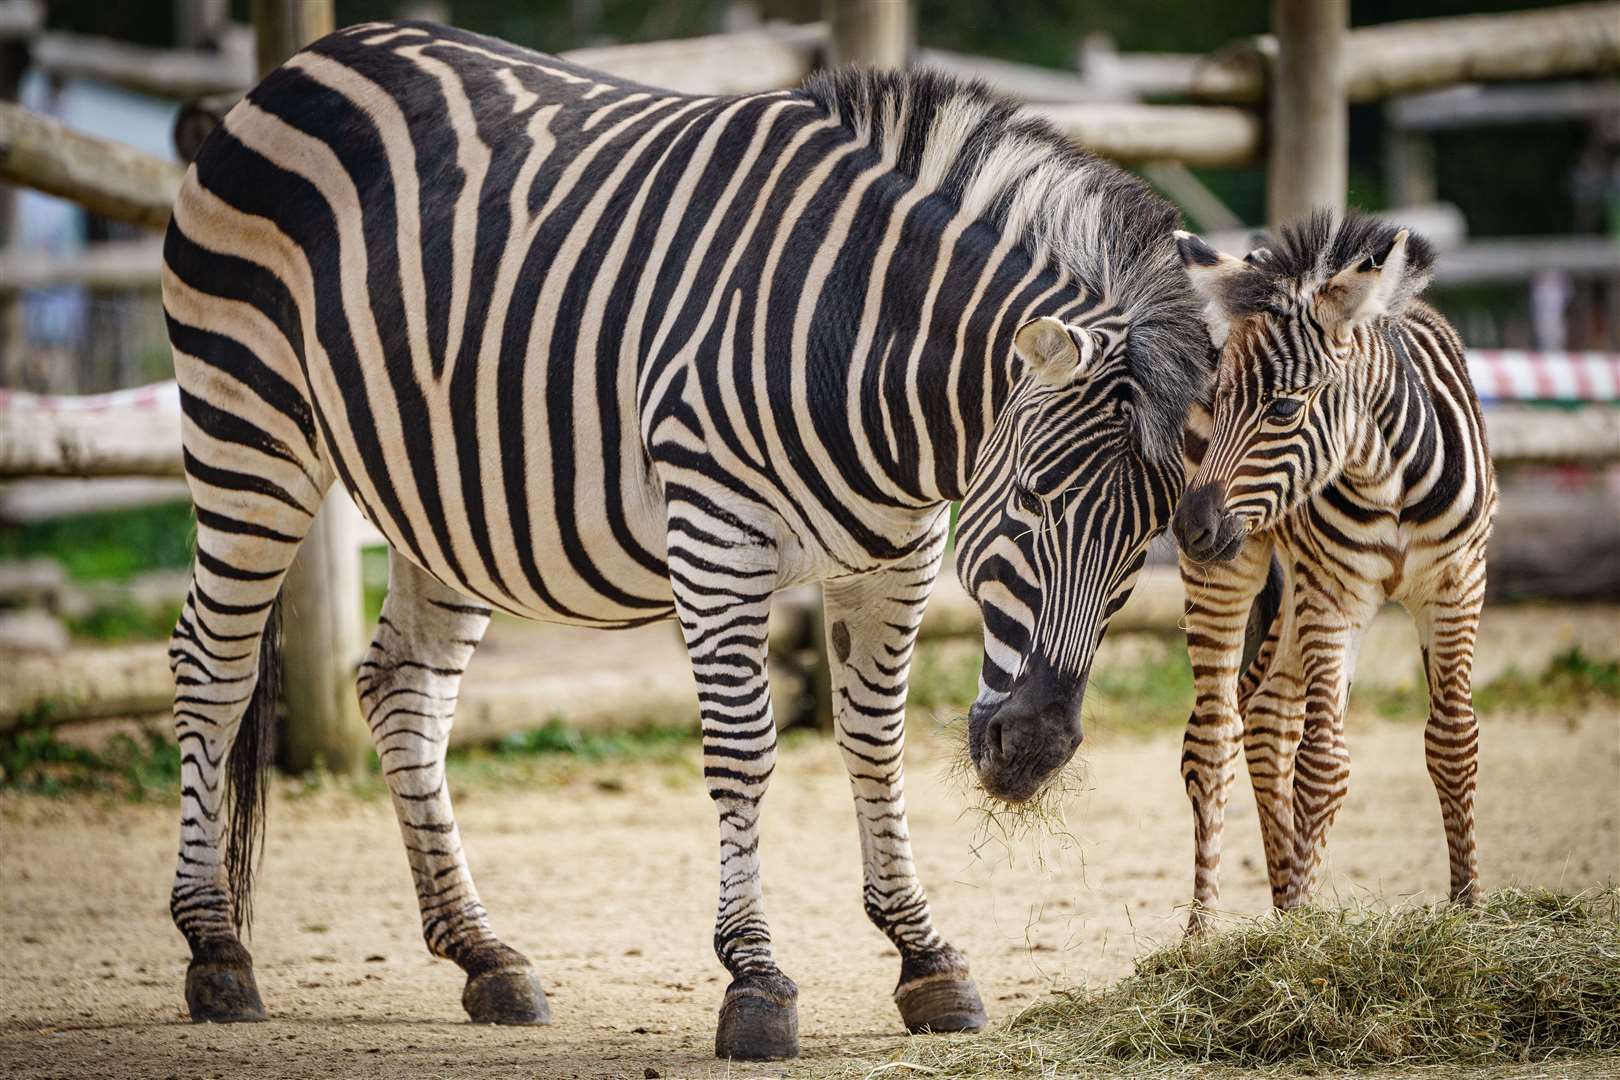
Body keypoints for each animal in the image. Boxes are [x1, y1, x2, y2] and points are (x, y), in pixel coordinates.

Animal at [1172, 215, 1496, 932]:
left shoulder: (1458, 582)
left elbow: (1454, 740)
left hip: (1296, 590)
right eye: (1221, 399)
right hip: (1240, 574)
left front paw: (1467, 910)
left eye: (1283, 410)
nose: (1188, 527)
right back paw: (1204, 935)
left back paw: (1288, 906)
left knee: (1267, 712)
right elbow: (1323, 765)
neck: (1388, 476)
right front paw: (1297, 929)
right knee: (1215, 737)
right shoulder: (1335, 594)